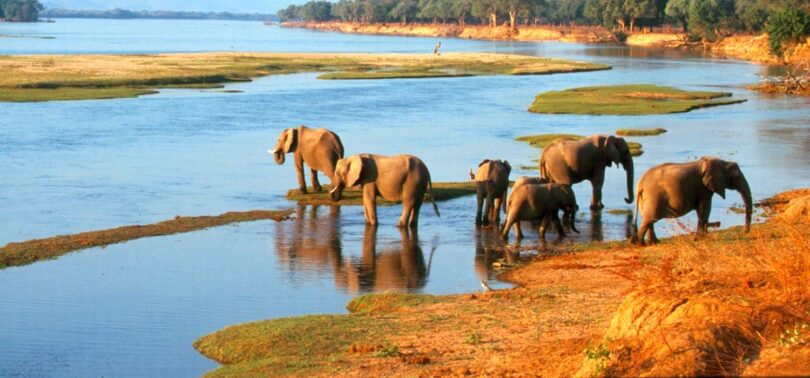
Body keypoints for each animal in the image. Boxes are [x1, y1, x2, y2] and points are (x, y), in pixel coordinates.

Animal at [628, 157, 756, 245]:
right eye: (736, 177)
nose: (745, 231)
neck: (720, 162)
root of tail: (640, 184)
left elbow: (702, 210)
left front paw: (702, 237)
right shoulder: (703, 188)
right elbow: (705, 209)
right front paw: (700, 239)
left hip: (645, 200)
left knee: (650, 219)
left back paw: (654, 243)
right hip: (653, 197)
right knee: (649, 219)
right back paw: (641, 244)